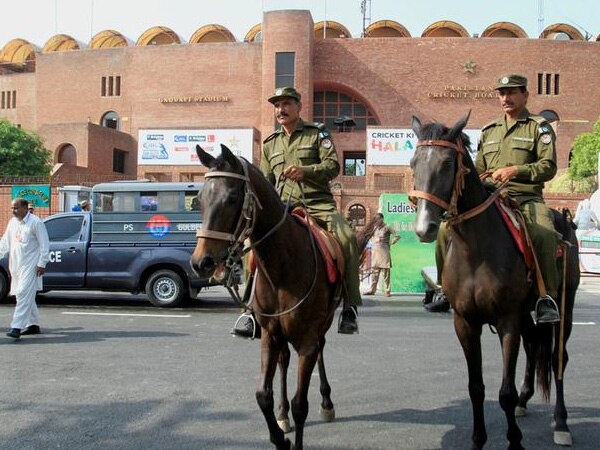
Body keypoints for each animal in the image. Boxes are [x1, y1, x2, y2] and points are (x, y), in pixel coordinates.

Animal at [410, 114, 580, 450]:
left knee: (558, 359)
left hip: (564, 306)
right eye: (413, 162)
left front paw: (514, 441)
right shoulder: (465, 322)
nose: (425, 227)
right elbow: (476, 387)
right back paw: (526, 401)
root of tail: (566, 220)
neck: (476, 250)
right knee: (533, 346)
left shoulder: (507, 320)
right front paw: (478, 439)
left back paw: (561, 422)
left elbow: (505, 391)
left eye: (447, 163)